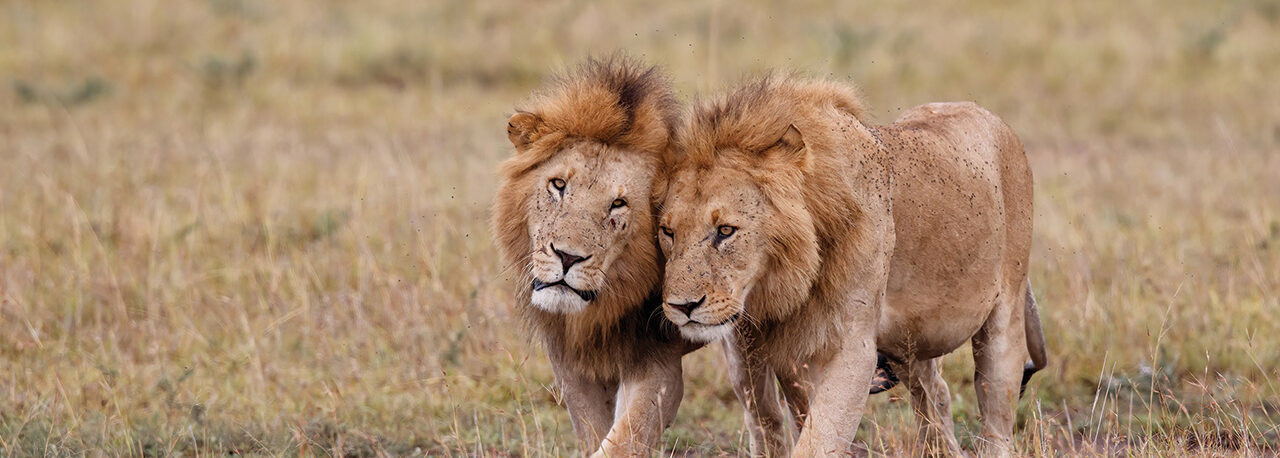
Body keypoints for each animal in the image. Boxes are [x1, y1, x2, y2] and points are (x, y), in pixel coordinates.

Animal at [488, 56, 788, 455]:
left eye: (618, 204)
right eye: (558, 184)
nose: (567, 258)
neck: (599, 308)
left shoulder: (658, 367)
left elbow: (624, 439)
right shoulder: (571, 366)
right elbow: (594, 432)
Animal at [660, 77, 1049, 455]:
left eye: (726, 230)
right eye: (668, 232)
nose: (682, 307)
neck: (778, 286)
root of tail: (985, 114)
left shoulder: (852, 348)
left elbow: (817, 440)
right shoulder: (756, 347)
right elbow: (771, 424)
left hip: (1004, 319)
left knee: (996, 415)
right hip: (909, 339)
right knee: (933, 391)